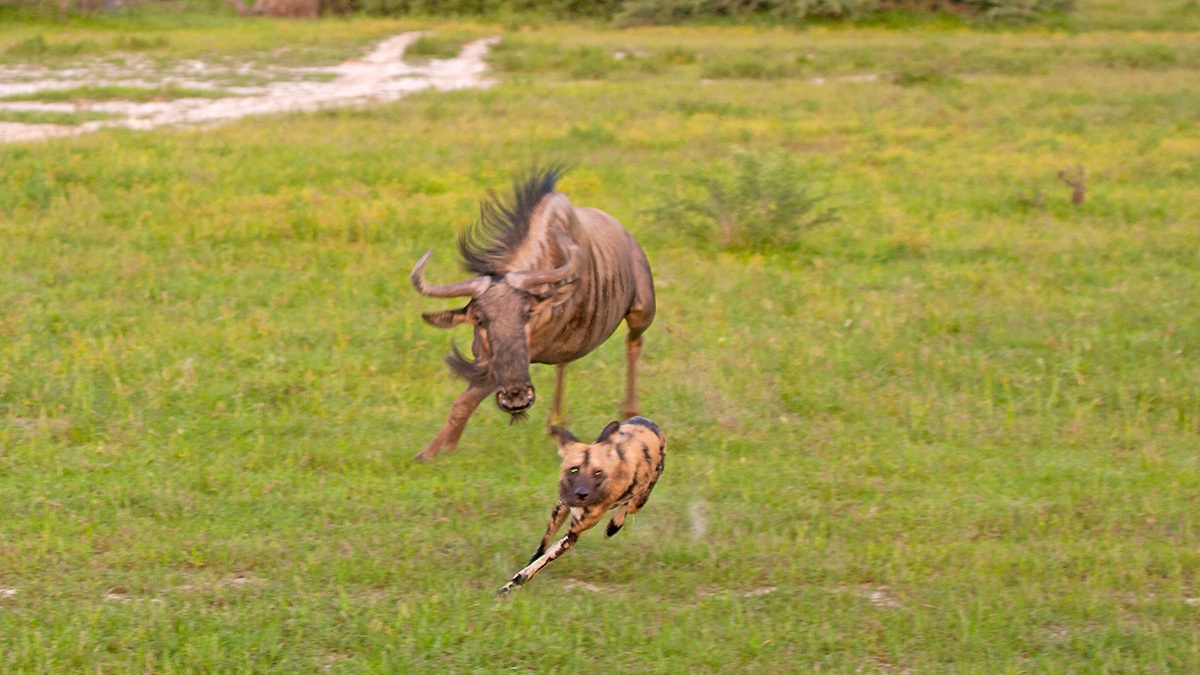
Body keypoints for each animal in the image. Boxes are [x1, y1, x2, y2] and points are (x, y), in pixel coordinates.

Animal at [410, 167, 655, 462]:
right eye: (480, 319)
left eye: (526, 314)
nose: (516, 398)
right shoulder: (485, 355)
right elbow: (468, 397)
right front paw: (447, 448)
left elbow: (465, 400)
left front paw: (428, 454)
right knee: (565, 362)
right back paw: (556, 423)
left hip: (642, 311)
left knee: (634, 342)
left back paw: (629, 414)